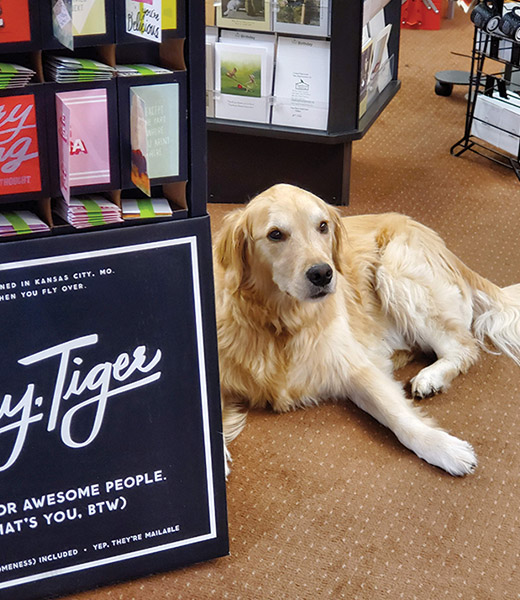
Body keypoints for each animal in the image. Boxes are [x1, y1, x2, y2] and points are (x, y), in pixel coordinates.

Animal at [211, 185, 520, 476]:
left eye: (322, 226)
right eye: (275, 234)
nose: (323, 273)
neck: (280, 320)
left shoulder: (354, 366)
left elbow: (399, 416)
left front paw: (443, 447)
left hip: (395, 270)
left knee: (463, 347)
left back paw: (430, 377)